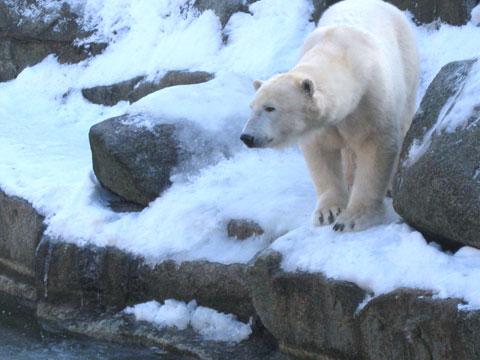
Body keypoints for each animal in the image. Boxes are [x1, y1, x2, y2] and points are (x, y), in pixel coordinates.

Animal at [242, 0, 418, 231]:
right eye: (252, 107)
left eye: (270, 108)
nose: (247, 137)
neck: (339, 53)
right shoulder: (321, 125)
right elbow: (321, 153)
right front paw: (328, 212)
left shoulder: (371, 99)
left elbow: (375, 145)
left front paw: (353, 219)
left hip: (406, 66)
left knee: (404, 122)